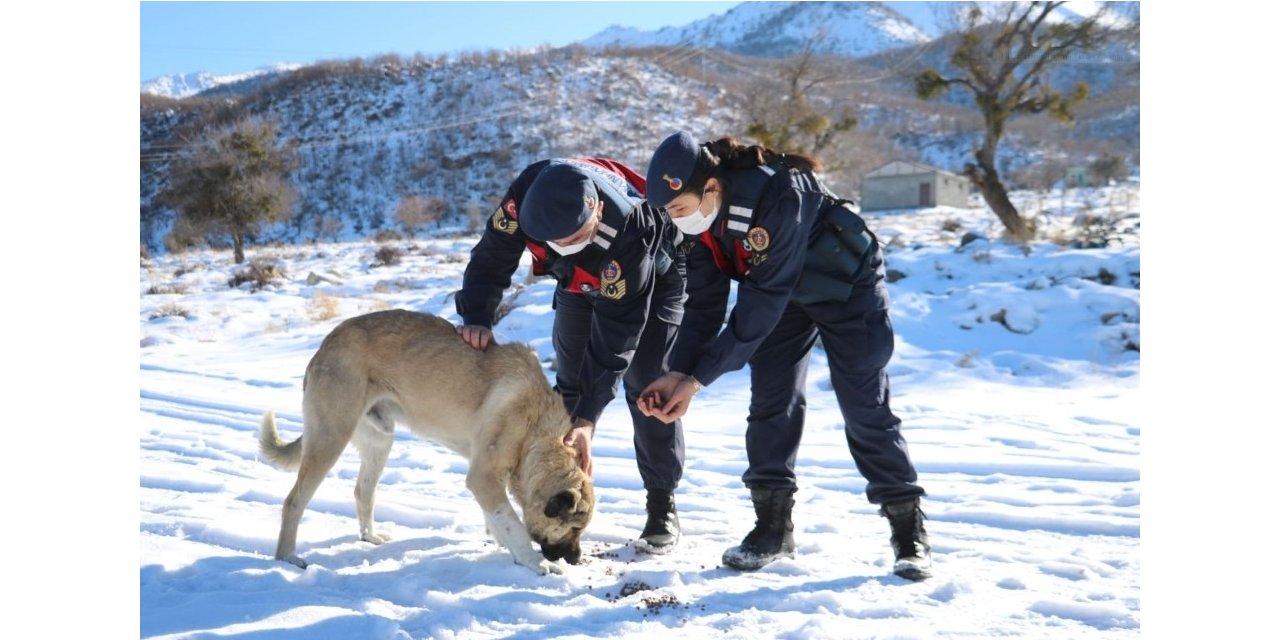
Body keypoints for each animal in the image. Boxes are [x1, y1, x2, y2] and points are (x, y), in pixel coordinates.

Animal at [256, 309, 593, 576]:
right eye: (575, 528)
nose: (577, 559)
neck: (536, 428)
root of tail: (325, 345)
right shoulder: (482, 476)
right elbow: (513, 524)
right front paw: (535, 563)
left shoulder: (485, 476)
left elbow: (499, 518)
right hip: (330, 438)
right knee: (293, 502)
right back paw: (287, 558)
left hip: (380, 441)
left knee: (363, 491)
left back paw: (369, 537)